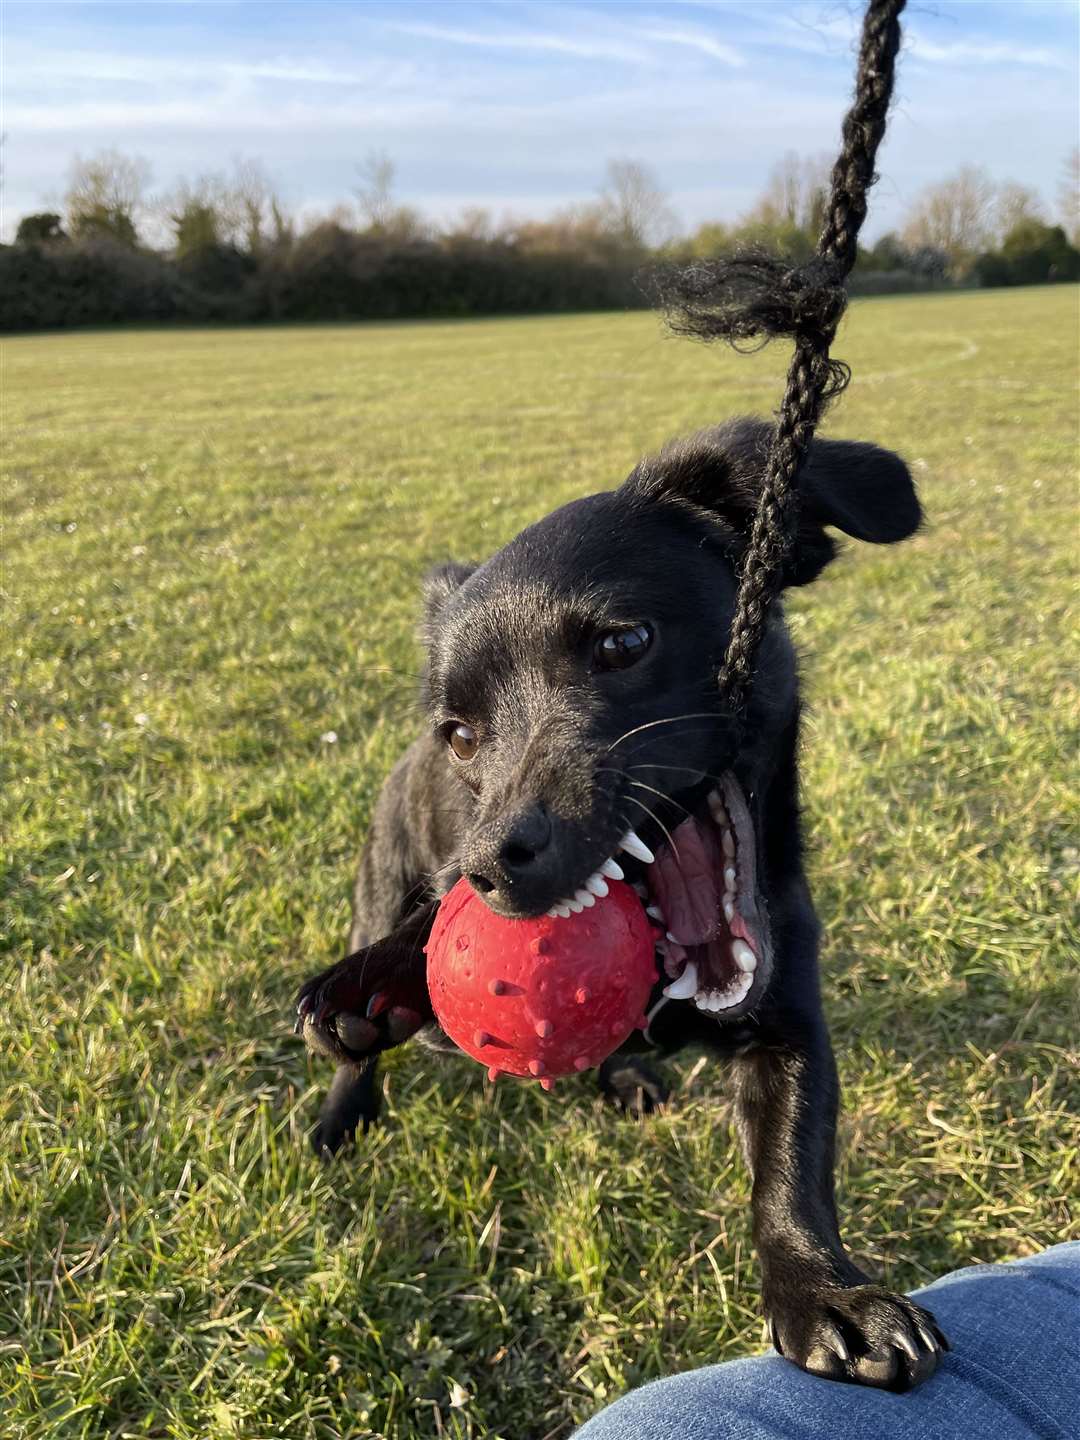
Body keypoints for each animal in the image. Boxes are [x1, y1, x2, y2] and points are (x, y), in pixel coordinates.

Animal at [296, 414, 944, 1382]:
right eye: (461, 736)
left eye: (623, 644)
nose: (491, 865)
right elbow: (418, 944)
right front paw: (377, 983)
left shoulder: (793, 1022)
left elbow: (791, 1168)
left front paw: (823, 1291)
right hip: (380, 877)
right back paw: (347, 1108)